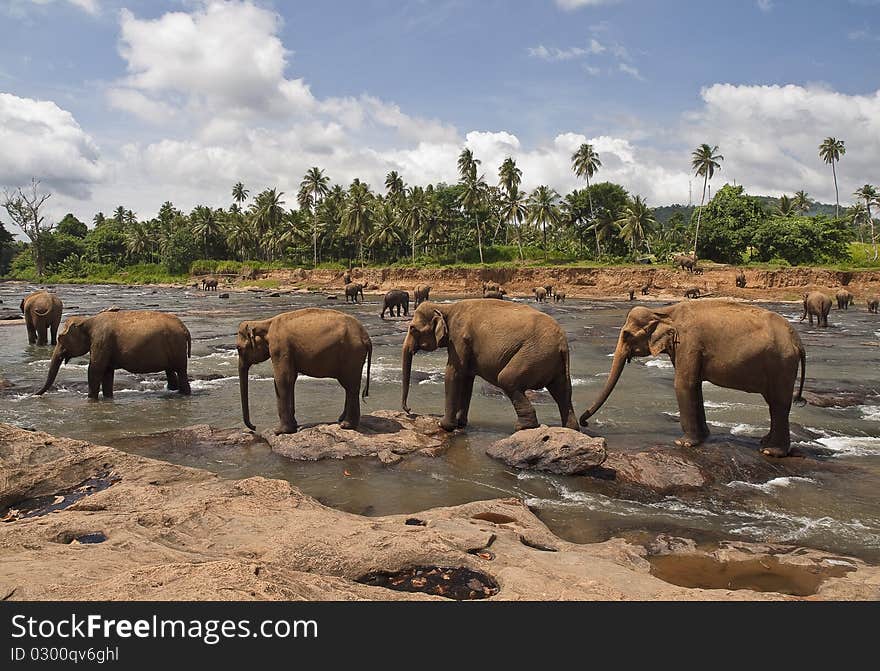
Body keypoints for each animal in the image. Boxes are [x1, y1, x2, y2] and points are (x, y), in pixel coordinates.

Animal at [35, 312, 192, 400]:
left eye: (60, 338)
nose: (36, 394)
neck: (87, 320)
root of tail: (185, 328)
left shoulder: (101, 341)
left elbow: (95, 369)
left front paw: (91, 399)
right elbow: (107, 372)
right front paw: (107, 398)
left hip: (177, 346)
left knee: (181, 371)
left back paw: (185, 395)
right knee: (173, 371)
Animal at [237, 308, 372, 434]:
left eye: (238, 348)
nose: (254, 427)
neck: (264, 323)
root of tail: (366, 336)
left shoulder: (280, 347)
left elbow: (283, 380)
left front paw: (279, 431)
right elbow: (291, 379)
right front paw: (294, 426)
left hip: (352, 353)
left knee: (351, 386)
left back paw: (346, 426)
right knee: (349, 386)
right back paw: (341, 420)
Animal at [398, 298, 576, 430]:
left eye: (412, 328)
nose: (409, 410)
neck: (446, 308)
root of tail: (563, 343)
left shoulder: (459, 339)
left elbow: (453, 373)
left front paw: (444, 425)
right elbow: (467, 379)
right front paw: (461, 423)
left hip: (533, 355)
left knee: (507, 379)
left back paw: (523, 427)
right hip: (553, 362)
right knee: (563, 391)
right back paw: (570, 428)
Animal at [580, 302, 808, 460]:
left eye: (626, 335)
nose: (585, 421)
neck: (664, 311)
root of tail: (798, 341)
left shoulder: (688, 343)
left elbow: (683, 384)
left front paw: (683, 443)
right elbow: (695, 385)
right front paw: (704, 437)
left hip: (781, 364)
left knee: (778, 403)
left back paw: (771, 452)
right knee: (774, 404)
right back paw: (764, 443)